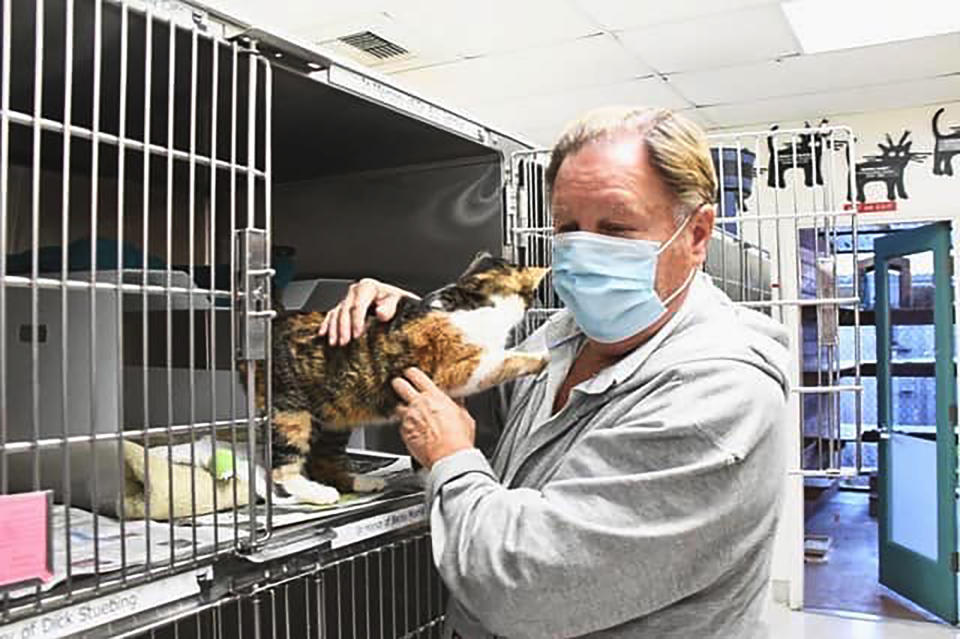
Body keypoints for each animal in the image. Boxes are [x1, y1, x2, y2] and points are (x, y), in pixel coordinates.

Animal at [253, 254, 548, 504]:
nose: (538, 301)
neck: (471, 303)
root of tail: (272, 322)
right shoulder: (459, 369)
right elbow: (505, 360)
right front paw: (542, 357)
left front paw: (428, 479)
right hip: (289, 411)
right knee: (282, 466)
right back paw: (316, 493)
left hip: (335, 416)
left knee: (324, 462)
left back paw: (362, 483)